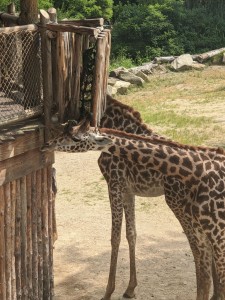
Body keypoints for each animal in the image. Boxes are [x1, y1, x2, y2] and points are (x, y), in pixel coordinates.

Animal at [41, 118, 225, 300]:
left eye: (75, 138)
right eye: (65, 131)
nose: (47, 144)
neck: (196, 170)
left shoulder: (114, 184)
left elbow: (115, 237)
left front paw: (108, 292)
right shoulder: (129, 191)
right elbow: (131, 233)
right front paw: (130, 288)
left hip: (179, 206)